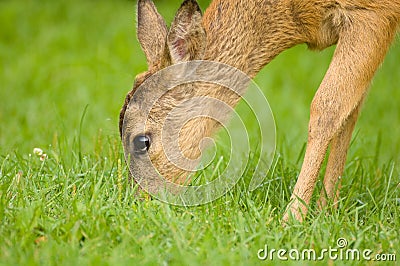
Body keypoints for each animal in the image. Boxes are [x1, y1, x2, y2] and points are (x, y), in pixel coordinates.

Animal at [119, 0, 400, 222]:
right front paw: (326, 211)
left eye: (142, 141)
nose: (141, 203)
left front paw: (292, 219)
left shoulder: (373, 13)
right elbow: (350, 112)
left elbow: (326, 108)